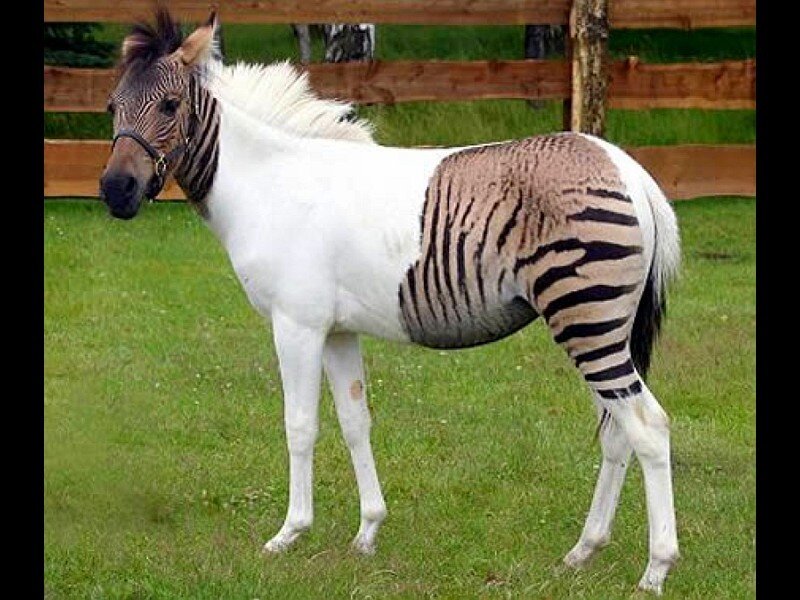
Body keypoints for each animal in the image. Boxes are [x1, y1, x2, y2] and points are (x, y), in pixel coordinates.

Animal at [99, 8, 681, 594]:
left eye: (171, 105)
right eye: (110, 107)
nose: (115, 192)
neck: (270, 185)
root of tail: (627, 168)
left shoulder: (296, 325)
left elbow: (299, 426)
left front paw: (289, 534)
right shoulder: (337, 330)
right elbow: (356, 422)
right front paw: (367, 532)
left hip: (586, 317)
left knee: (648, 428)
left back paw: (655, 570)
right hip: (605, 325)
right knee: (618, 432)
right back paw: (584, 550)